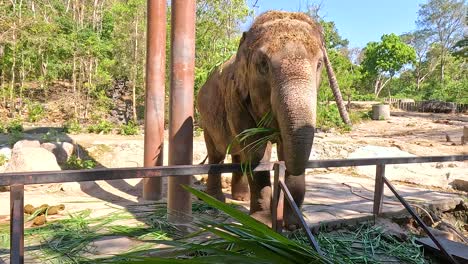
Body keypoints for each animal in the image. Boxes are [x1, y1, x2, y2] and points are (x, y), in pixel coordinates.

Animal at [196, 10, 324, 229]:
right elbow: (257, 152)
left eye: (320, 64)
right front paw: (261, 223)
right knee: (217, 154)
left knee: (238, 154)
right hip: (207, 120)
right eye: (263, 64)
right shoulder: (235, 96)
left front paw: (293, 225)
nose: (292, 223)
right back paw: (215, 201)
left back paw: (241, 198)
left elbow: (284, 150)